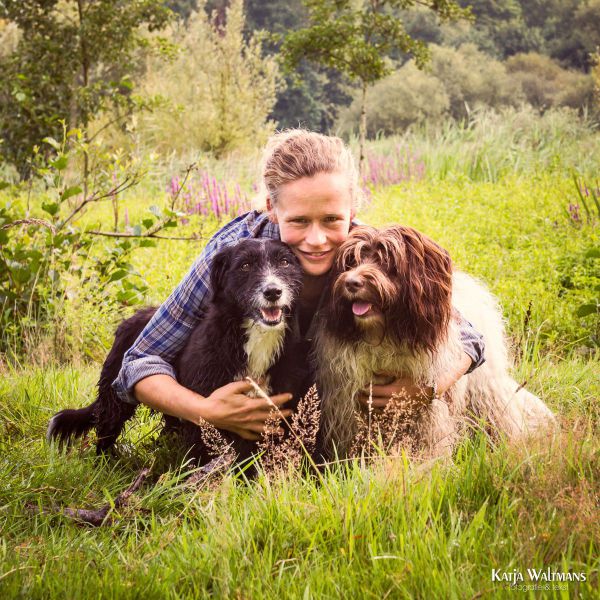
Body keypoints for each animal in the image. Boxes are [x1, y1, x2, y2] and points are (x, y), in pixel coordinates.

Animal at [48, 239, 304, 464]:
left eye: (284, 262)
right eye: (245, 265)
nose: (273, 291)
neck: (255, 337)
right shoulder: (207, 410)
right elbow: (202, 453)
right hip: (115, 396)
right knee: (106, 430)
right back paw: (106, 464)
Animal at [316, 224, 556, 454]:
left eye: (386, 260)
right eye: (352, 261)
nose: (351, 283)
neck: (386, 335)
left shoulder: (426, 411)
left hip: (486, 388)